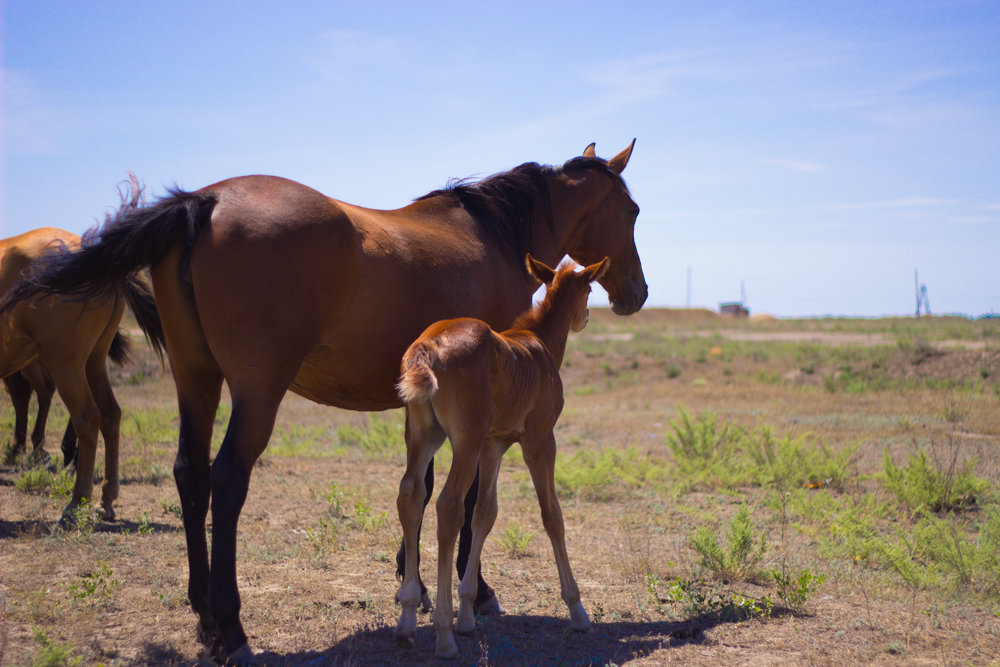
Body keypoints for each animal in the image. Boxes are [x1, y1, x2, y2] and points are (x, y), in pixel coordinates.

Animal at [394, 254, 604, 656]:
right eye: (589, 289)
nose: (585, 317)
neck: (537, 344)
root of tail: (429, 345)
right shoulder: (540, 439)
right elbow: (552, 515)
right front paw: (578, 610)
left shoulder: (494, 445)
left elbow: (484, 514)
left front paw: (468, 614)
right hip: (466, 439)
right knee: (447, 505)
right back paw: (442, 634)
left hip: (423, 434)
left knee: (411, 495)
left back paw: (409, 618)